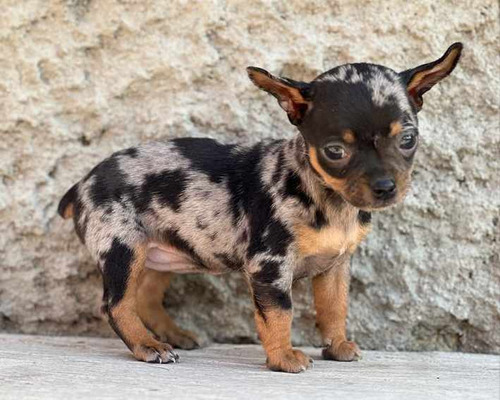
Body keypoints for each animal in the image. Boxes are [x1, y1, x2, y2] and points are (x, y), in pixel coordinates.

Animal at [59, 43, 464, 372]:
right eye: (335, 151)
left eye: (407, 139)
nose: (385, 188)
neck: (328, 199)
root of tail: (82, 185)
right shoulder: (270, 266)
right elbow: (279, 313)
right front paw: (283, 357)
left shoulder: (335, 267)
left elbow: (335, 308)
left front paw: (336, 347)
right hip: (123, 250)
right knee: (117, 304)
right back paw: (147, 345)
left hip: (161, 254)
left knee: (144, 298)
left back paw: (171, 335)